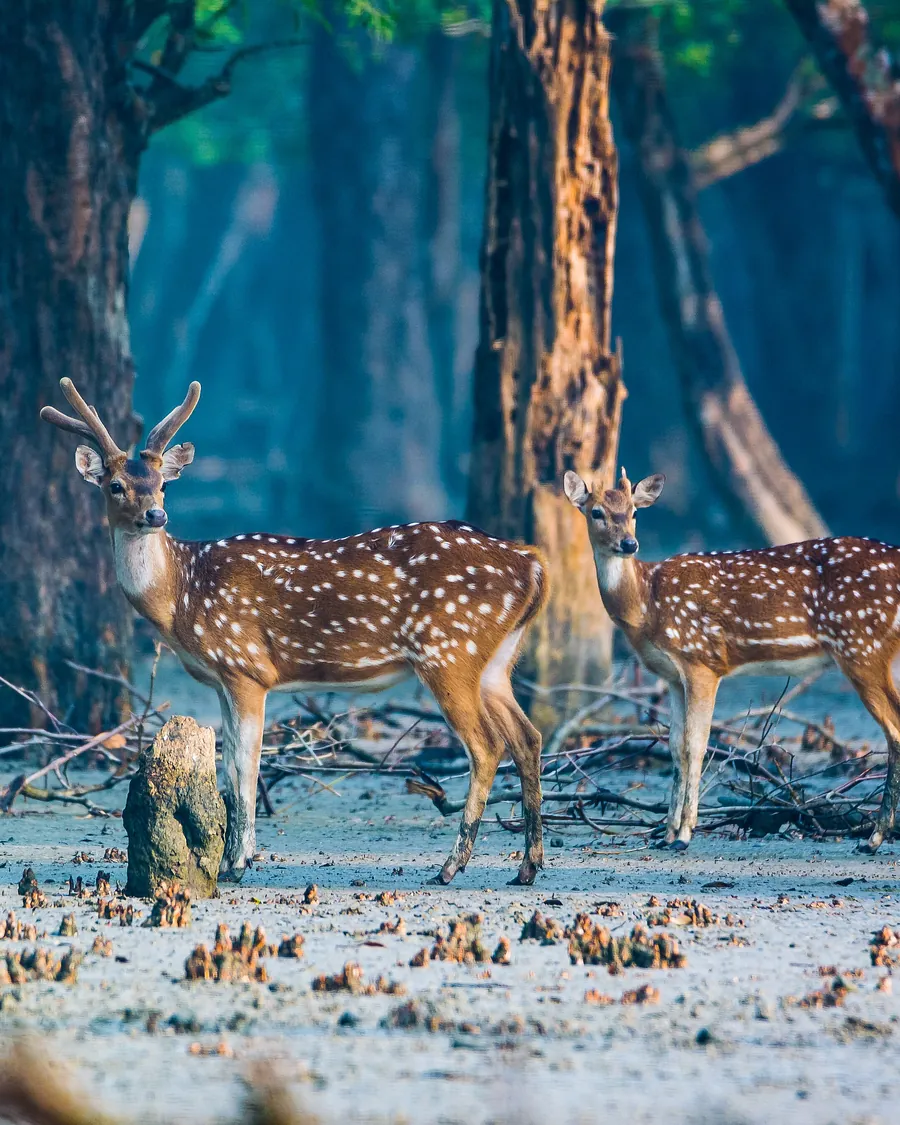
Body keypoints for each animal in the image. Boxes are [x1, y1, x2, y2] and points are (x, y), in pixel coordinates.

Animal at [41, 379, 549, 885]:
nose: (156, 516)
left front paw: (237, 863)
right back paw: (527, 866)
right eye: (116, 485)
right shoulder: (223, 680)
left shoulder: (246, 667)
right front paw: (234, 858)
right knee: (528, 738)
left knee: (487, 745)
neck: (183, 596)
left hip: (448, 651)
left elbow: (245, 768)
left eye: (163, 484)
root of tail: (532, 563)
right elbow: (230, 764)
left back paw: (451, 866)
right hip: (495, 663)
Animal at [565, 467, 900, 856]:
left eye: (634, 512)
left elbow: (695, 745)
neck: (646, 607)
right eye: (596, 512)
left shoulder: (702, 660)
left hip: (861, 646)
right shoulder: (673, 676)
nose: (629, 544)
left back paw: (874, 838)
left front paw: (684, 835)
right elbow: (676, 748)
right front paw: (667, 834)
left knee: (894, 730)